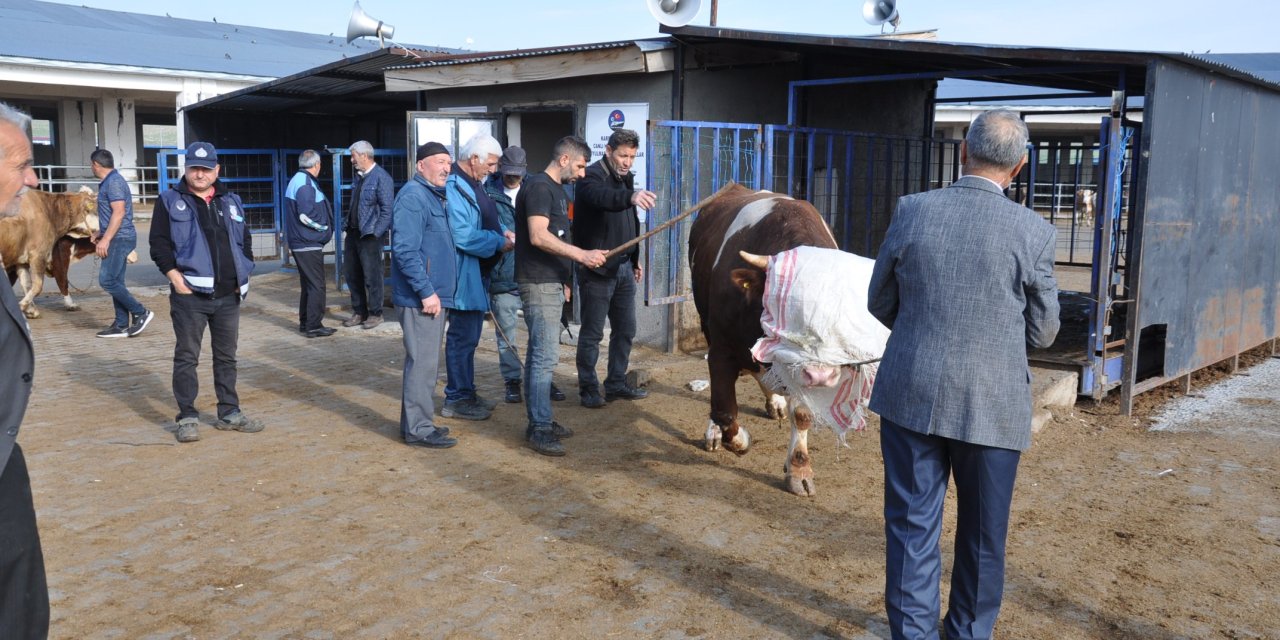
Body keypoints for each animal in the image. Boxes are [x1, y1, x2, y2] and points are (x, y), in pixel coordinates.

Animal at [691, 184, 870, 494]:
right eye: (789, 307)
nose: (822, 375)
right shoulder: (721, 349)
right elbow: (724, 410)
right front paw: (738, 439)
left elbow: (803, 413)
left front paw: (799, 470)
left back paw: (774, 401)